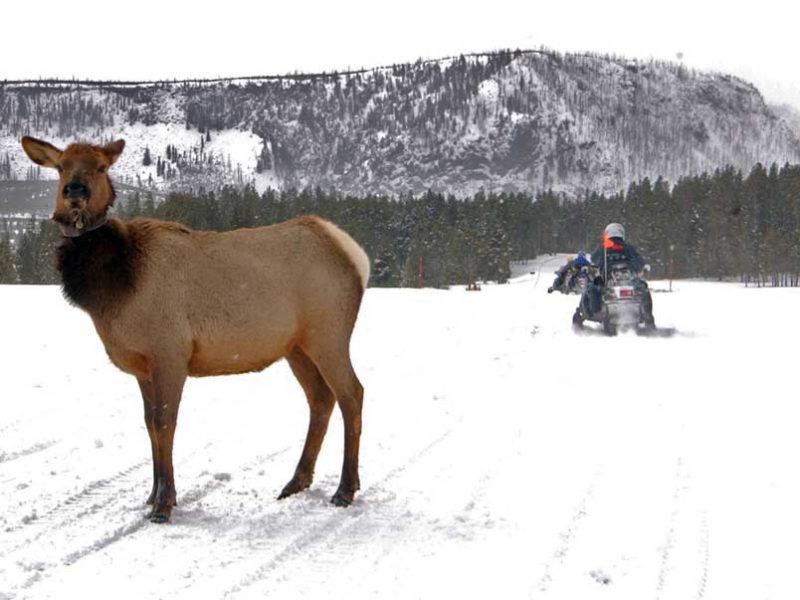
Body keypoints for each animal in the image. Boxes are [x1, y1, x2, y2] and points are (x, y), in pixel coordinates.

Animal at [21, 136, 370, 520]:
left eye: (101, 166)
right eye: (61, 167)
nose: (75, 191)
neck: (114, 292)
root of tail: (356, 255)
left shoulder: (170, 352)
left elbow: (165, 422)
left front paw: (164, 504)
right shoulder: (143, 365)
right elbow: (149, 424)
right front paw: (153, 495)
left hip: (329, 333)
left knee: (352, 394)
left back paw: (345, 489)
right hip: (296, 346)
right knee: (321, 399)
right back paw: (297, 481)